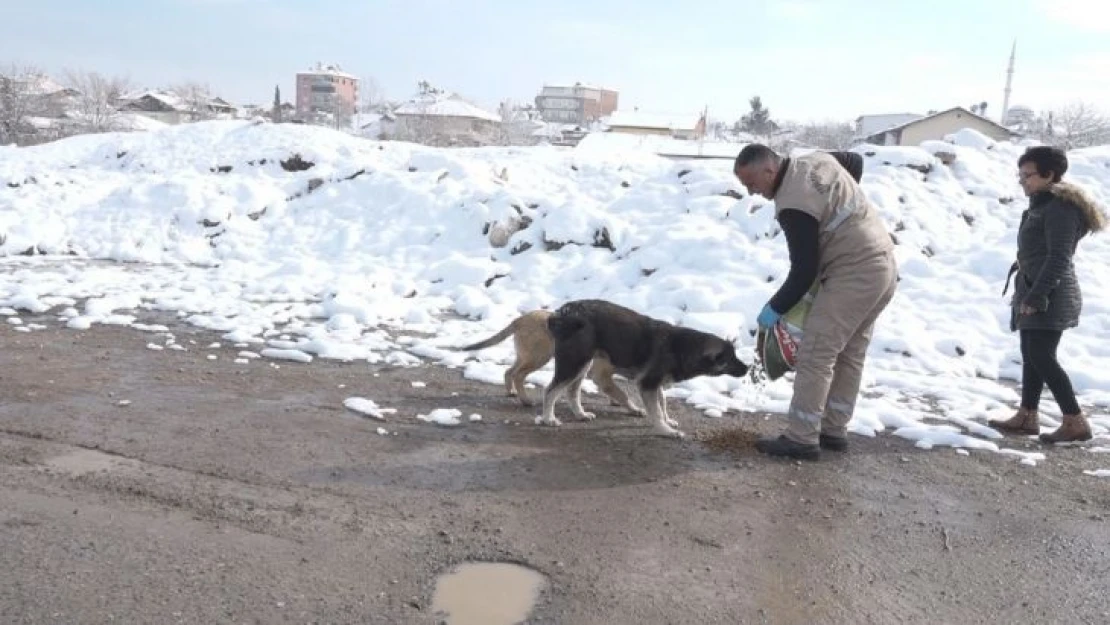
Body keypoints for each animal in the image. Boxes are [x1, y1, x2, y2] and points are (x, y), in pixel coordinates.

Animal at [455, 308, 648, 415]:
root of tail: (518, 320)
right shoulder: (599, 372)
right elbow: (618, 391)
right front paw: (632, 407)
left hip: (526, 356)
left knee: (509, 371)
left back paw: (512, 392)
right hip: (539, 357)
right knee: (518, 375)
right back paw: (526, 400)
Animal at [535, 299, 745, 437]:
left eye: (735, 356)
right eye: (730, 359)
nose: (747, 368)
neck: (682, 347)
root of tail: (561, 313)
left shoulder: (655, 383)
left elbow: (663, 403)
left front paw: (667, 421)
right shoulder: (648, 383)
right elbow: (657, 410)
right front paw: (666, 430)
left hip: (581, 364)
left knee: (572, 391)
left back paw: (580, 414)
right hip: (574, 363)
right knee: (550, 391)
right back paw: (549, 419)